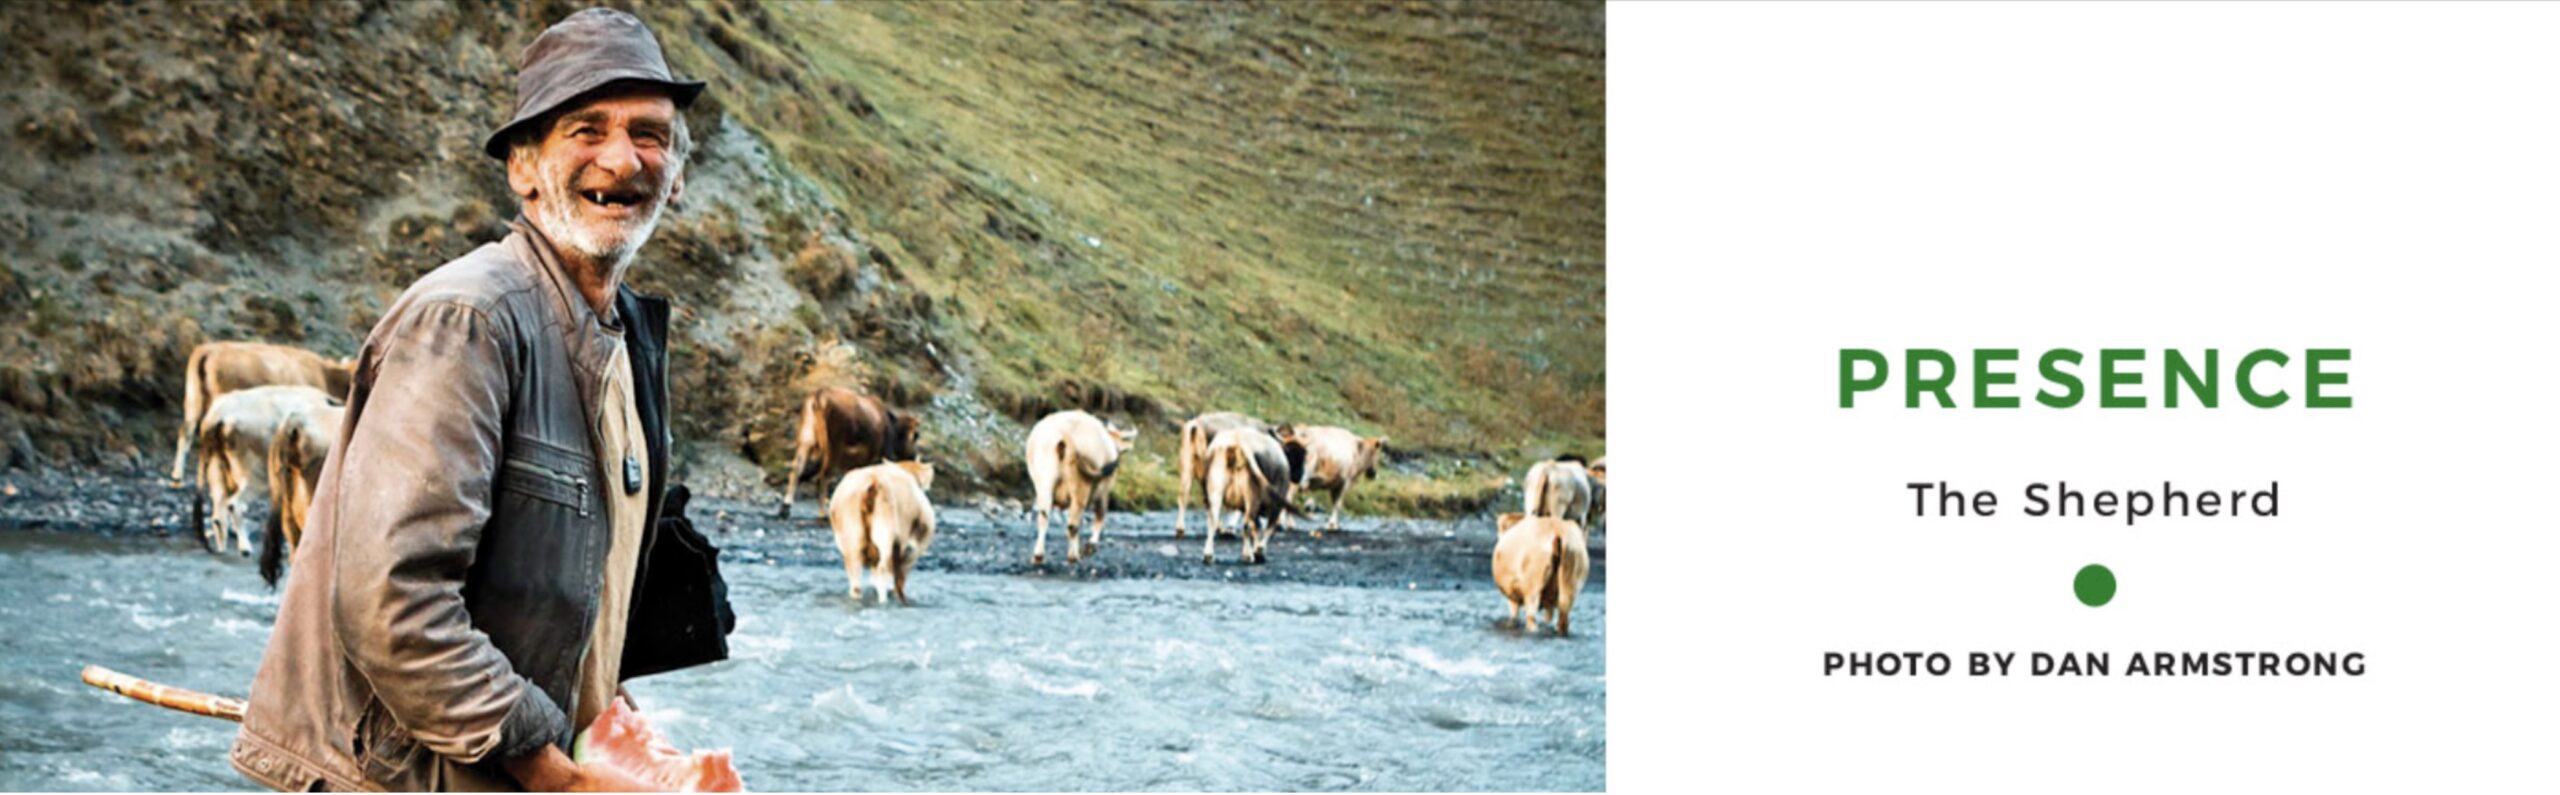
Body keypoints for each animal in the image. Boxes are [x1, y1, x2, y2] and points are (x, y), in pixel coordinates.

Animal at [193, 385, 339, 557]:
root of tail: (219, 414)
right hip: (256, 477)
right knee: (235, 503)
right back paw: (245, 548)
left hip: (218, 468)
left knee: (218, 509)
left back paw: (223, 547)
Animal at [776, 386, 921, 518]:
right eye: (916, 436)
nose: (913, 456)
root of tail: (819, 395)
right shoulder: (879, 458)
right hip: (832, 449)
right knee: (821, 478)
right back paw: (823, 513)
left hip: (805, 442)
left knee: (796, 470)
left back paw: (785, 508)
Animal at [826, 461, 937, 605]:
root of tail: (874, 479)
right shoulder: (912, 552)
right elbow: (899, 581)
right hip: (885, 534)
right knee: (883, 572)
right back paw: (884, 601)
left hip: (851, 540)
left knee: (855, 578)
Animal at [1023, 410, 1135, 565]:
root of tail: (1064, 433)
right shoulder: (1104, 492)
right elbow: (1100, 515)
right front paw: (1090, 546)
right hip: (1081, 486)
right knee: (1073, 524)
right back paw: (1073, 556)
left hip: (1044, 483)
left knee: (1044, 517)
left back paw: (1038, 555)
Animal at [1200, 427, 1300, 565]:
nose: (1298, 476)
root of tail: (1237, 442)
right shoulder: (1277, 504)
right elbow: (1268, 528)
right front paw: (1259, 552)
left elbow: (1256, 526)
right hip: (1252, 495)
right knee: (1247, 524)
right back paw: (1248, 556)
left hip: (1215, 491)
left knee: (1213, 522)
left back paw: (1208, 555)